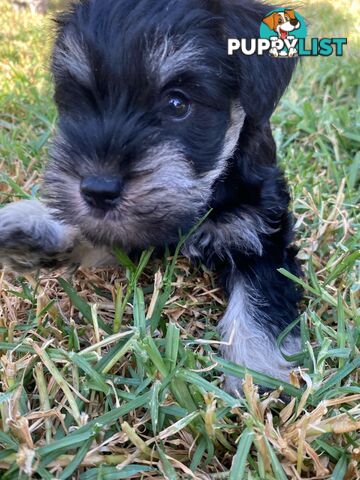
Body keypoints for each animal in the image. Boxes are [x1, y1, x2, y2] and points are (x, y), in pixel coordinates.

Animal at [0, 0, 302, 394]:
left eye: (177, 104)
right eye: (80, 100)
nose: (97, 189)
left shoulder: (262, 237)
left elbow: (259, 305)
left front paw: (256, 381)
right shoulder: (127, 227)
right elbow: (98, 232)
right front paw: (34, 228)